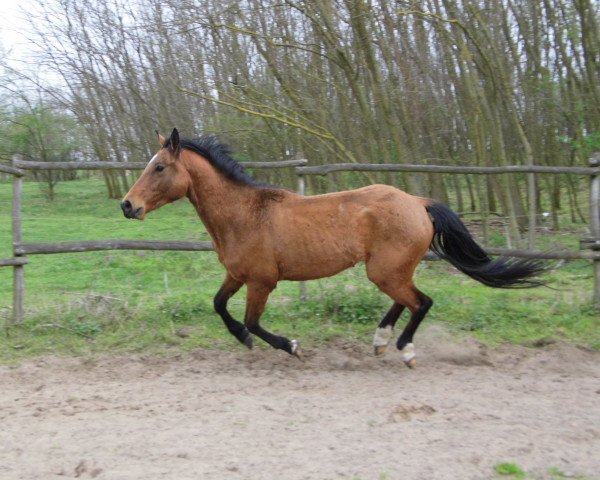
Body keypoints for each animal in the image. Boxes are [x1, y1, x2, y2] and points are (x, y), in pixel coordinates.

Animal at [122, 127, 544, 368]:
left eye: (159, 167)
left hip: (386, 270)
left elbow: (253, 321)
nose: (128, 205)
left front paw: (291, 347)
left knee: (421, 302)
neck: (245, 214)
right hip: (389, 269)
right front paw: (243, 340)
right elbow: (219, 306)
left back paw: (404, 350)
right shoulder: (237, 274)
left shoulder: (262, 281)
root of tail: (418, 201)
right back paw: (380, 342)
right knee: (406, 301)